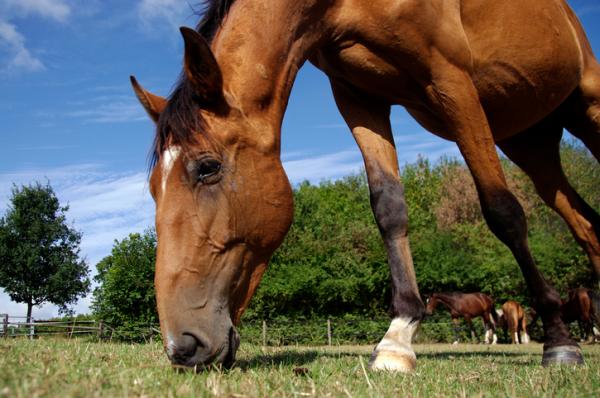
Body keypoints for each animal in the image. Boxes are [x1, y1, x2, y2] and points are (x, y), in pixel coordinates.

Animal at [131, 0, 600, 372]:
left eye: (207, 168)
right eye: (154, 188)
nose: (181, 347)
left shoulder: (450, 79)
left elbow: (503, 211)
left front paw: (560, 342)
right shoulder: (358, 96)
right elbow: (388, 207)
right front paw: (398, 338)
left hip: (585, 105)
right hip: (529, 142)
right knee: (586, 226)